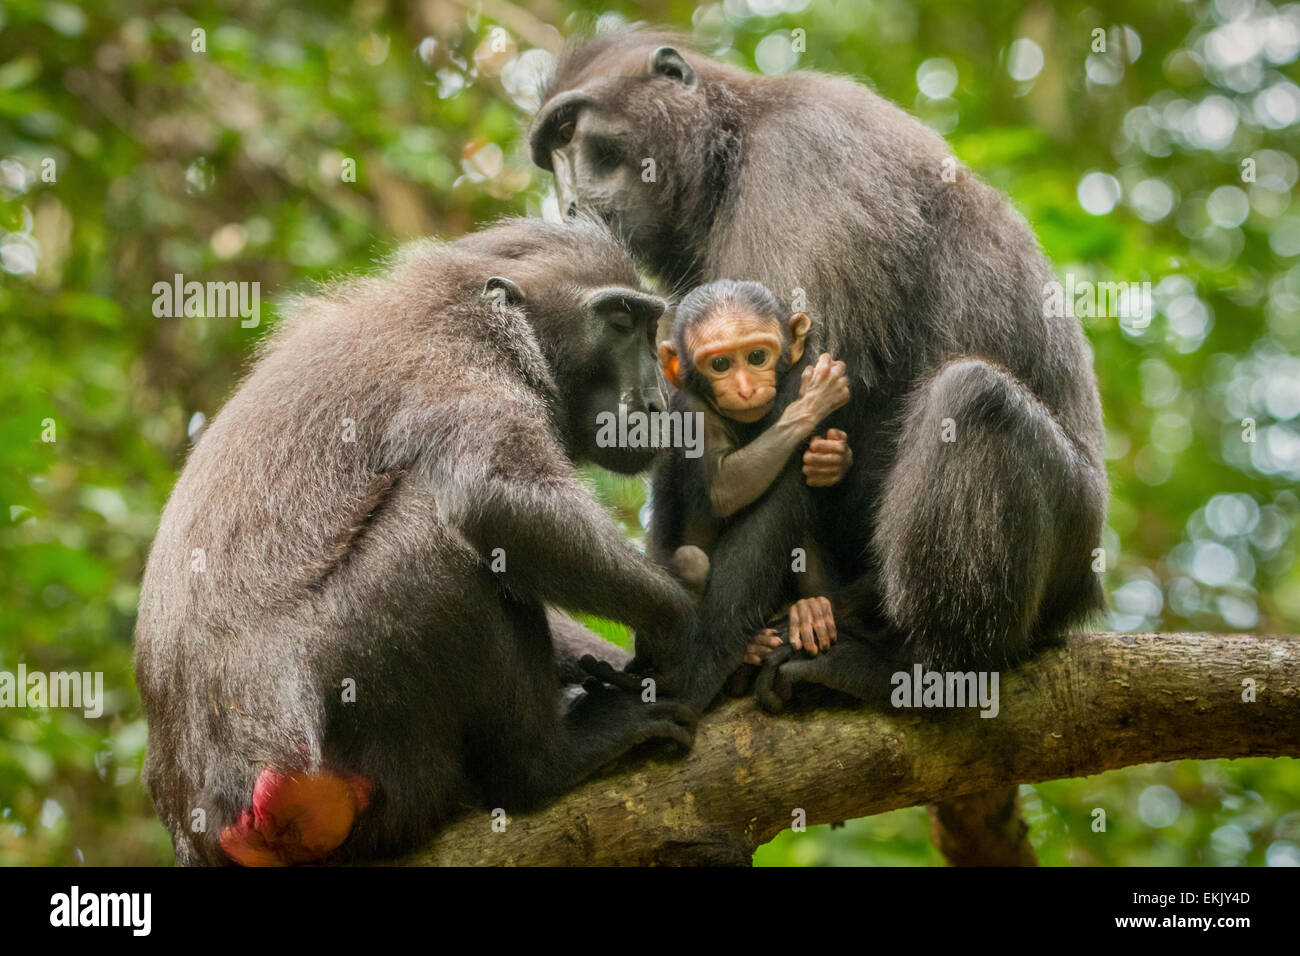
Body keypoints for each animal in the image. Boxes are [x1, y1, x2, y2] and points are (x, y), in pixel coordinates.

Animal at [133, 217, 700, 865]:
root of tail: (224, 817)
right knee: (439, 533)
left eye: (650, 327)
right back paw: (544, 765)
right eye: (621, 322)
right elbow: (499, 502)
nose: (656, 402)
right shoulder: (457, 359)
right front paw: (683, 623)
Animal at [533, 30, 1108, 713]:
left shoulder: (803, 160)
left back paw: (915, 667)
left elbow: (793, 417)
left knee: (974, 397)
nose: (568, 206)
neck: (730, 146)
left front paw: (697, 663)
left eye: (571, 130)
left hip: (1070, 543)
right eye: (550, 151)